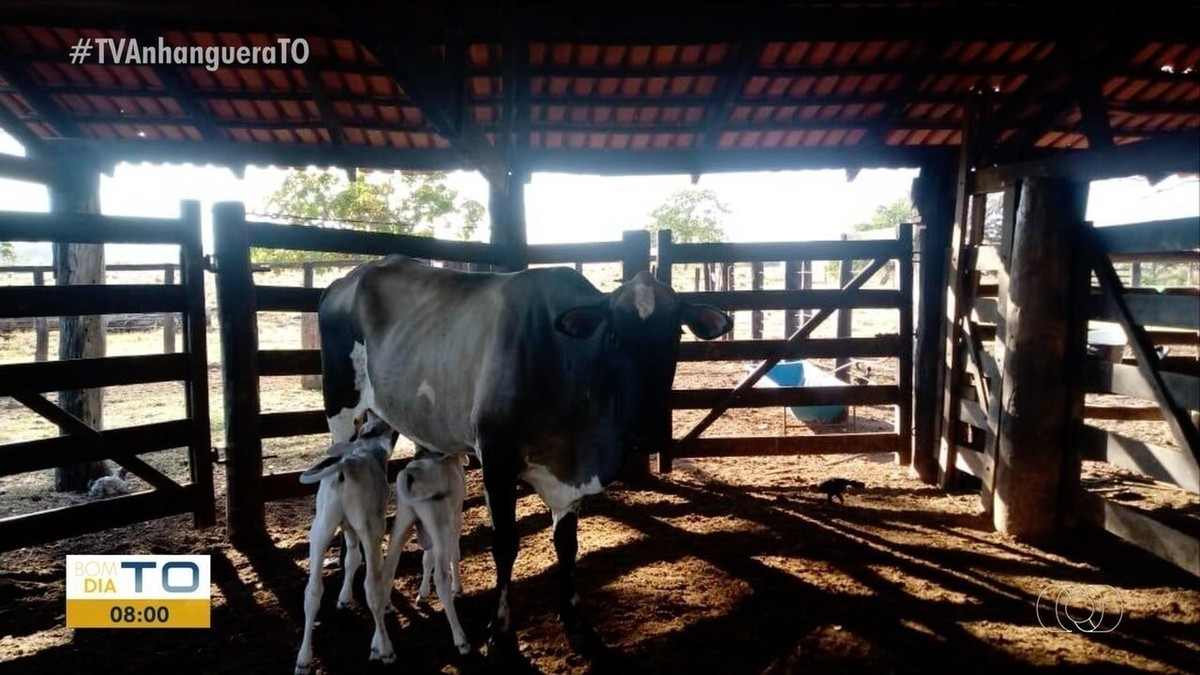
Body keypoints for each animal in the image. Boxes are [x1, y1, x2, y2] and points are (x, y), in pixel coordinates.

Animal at [292, 410, 396, 672]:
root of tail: (343, 466)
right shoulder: (375, 524)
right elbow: (375, 565)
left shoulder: (348, 527)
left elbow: (351, 558)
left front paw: (344, 598)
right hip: (368, 526)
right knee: (371, 586)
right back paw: (385, 649)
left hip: (321, 527)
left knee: (312, 591)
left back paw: (303, 659)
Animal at [388, 446, 472, 653]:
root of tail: (409, 475)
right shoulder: (455, 516)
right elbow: (454, 554)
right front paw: (457, 588)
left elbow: (426, 560)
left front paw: (422, 594)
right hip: (439, 522)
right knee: (441, 577)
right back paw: (461, 639)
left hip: (402, 522)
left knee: (384, 573)